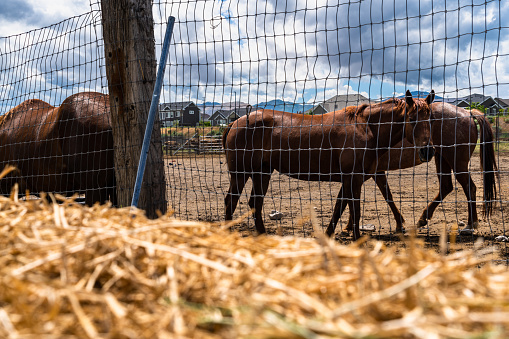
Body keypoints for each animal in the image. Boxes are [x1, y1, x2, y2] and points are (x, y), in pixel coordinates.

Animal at [221, 89, 432, 240]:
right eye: (412, 119)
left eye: (430, 118)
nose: (427, 151)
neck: (365, 127)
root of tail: (235, 123)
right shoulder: (354, 178)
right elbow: (355, 210)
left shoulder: (350, 179)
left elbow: (339, 207)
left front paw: (329, 235)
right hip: (241, 173)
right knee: (231, 201)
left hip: (261, 173)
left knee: (254, 203)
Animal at [342, 102, 496, 234]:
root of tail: (467, 113)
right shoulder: (374, 172)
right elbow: (380, 195)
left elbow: (348, 197)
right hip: (442, 159)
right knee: (446, 187)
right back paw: (424, 218)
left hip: (457, 163)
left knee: (470, 188)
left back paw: (471, 224)